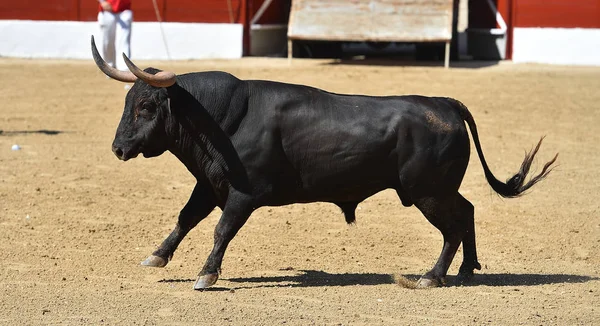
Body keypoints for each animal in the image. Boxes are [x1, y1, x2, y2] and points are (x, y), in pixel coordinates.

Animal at [90, 37, 556, 290]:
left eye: (146, 106)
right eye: (129, 103)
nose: (118, 149)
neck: (224, 118)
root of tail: (445, 103)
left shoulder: (243, 194)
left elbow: (221, 230)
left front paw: (206, 275)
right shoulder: (209, 185)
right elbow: (186, 218)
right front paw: (156, 257)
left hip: (427, 192)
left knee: (453, 227)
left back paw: (432, 275)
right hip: (437, 191)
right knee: (468, 212)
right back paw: (465, 271)